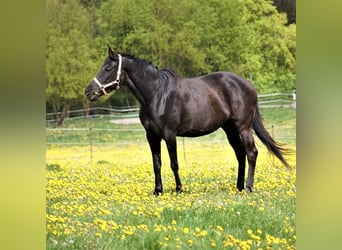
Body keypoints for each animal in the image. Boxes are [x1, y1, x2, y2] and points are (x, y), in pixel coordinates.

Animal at [85, 47, 288, 195]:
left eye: (108, 68)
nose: (88, 91)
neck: (157, 95)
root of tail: (248, 86)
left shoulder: (170, 135)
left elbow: (174, 163)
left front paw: (179, 189)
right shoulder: (151, 136)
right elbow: (156, 164)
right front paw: (158, 191)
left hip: (243, 127)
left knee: (251, 153)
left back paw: (248, 187)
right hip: (229, 129)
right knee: (240, 153)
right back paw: (238, 187)